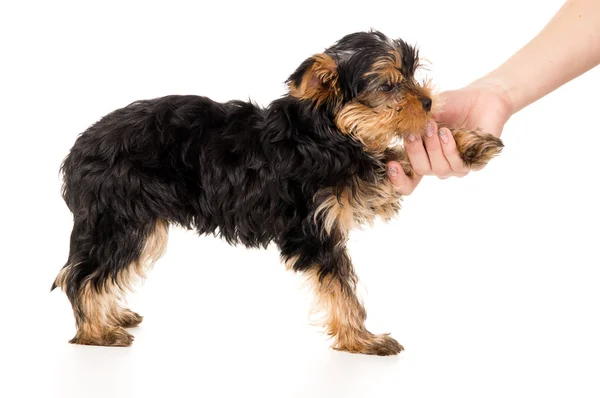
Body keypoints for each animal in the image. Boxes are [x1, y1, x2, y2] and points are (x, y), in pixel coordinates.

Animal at [52, 30, 502, 354]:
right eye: (390, 86)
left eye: (411, 77)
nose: (427, 102)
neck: (325, 131)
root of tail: (76, 153)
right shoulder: (313, 224)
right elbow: (341, 285)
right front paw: (361, 339)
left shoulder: (349, 181)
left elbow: (387, 160)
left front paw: (468, 143)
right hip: (122, 217)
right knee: (82, 274)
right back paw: (97, 332)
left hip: (135, 222)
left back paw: (111, 317)